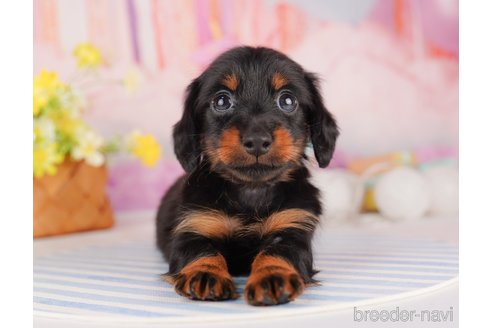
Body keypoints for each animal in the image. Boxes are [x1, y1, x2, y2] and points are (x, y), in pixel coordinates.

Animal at [157, 45, 338, 304]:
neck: (251, 191)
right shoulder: (195, 224)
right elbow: (201, 251)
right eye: (222, 100)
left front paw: (272, 276)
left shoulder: (292, 227)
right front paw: (205, 274)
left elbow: (277, 252)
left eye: (287, 100)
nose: (257, 141)